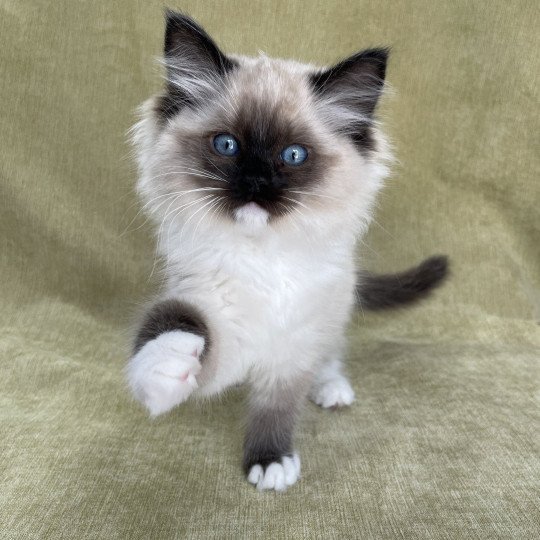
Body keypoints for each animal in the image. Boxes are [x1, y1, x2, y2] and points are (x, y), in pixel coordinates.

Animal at [126, 11, 448, 494]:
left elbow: (276, 407)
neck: (262, 259)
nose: (256, 183)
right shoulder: (214, 315)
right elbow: (179, 319)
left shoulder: (293, 345)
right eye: (227, 145)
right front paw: (166, 364)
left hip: (333, 314)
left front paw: (270, 462)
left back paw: (332, 389)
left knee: (330, 352)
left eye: (293, 155)